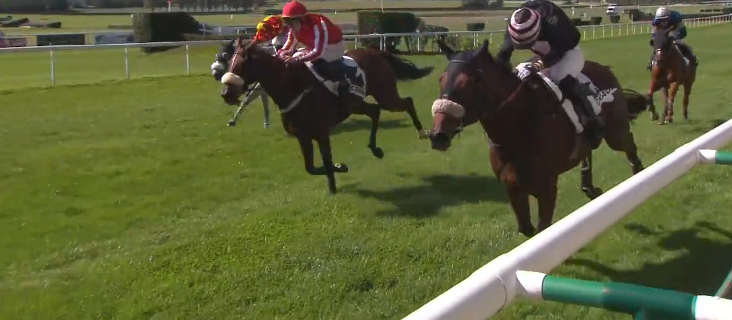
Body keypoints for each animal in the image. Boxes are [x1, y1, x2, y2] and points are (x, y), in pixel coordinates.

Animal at [220, 36, 432, 194]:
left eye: (242, 64)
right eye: (230, 62)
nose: (226, 94)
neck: (293, 87)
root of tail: (376, 52)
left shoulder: (321, 132)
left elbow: (326, 161)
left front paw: (334, 184)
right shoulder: (303, 135)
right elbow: (311, 167)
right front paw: (341, 168)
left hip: (386, 95)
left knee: (407, 102)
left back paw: (422, 131)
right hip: (356, 104)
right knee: (375, 111)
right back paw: (375, 149)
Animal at [428, 40, 648, 236]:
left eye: (473, 80)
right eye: (441, 79)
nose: (438, 135)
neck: (520, 130)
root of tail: (605, 68)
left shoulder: (547, 188)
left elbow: (543, 229)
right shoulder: (513, 188)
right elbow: (527, 230)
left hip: (615, 133)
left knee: (629, 145)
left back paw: (639, 175)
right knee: (588, 151)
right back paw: (589, 185)